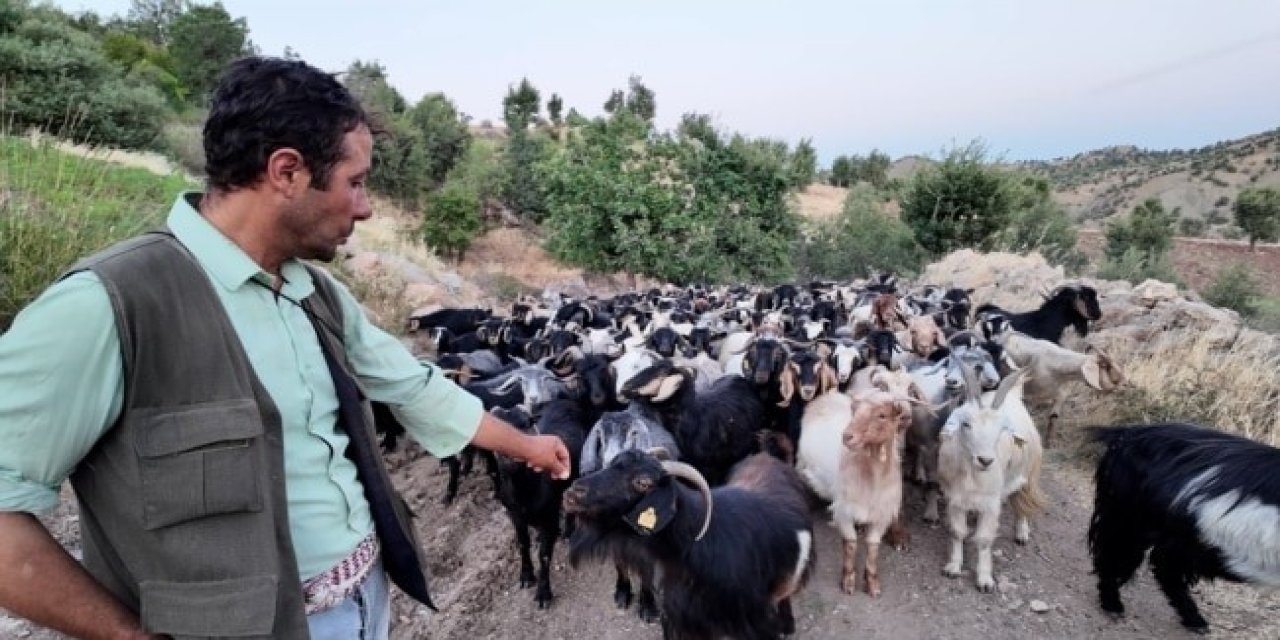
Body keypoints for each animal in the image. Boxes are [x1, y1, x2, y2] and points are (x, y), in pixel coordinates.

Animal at [565, 450, 814, 640]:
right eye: (611, 462)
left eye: (643, 482)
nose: (573, 492)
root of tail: (767, 457)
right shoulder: (680, 618)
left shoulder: (751, 621)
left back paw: (787, 624)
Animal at [1090, 422, 1280, 632]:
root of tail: (1127, 433)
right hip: (1126, 517)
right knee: (1114, 555)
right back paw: (1112, 605)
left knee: (1163, 566)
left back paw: (1194, 620)